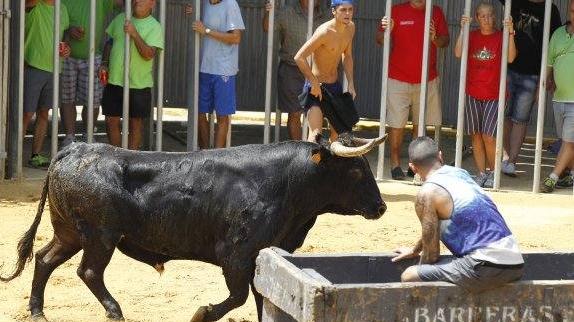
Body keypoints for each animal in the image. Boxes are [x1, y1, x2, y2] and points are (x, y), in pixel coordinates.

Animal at [1, 135, 388, 320]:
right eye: (356, 170)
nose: (381, 207)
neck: (287, 183)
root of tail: (73, 151)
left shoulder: (261, 258)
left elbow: (262, 296)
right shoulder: (236, 255)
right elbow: (239, 296)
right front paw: (201, 314)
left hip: (70, 232)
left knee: (45, 259)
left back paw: (37, 311)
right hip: (100, 236)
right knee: (90, 272)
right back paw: (115, 312)